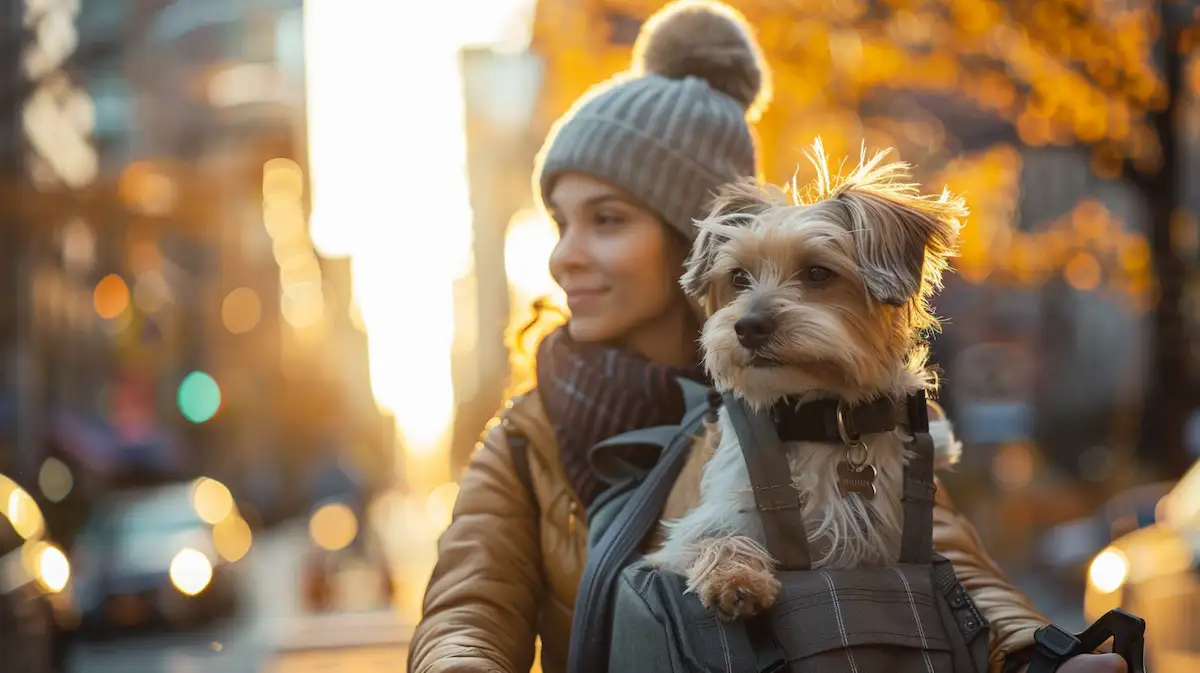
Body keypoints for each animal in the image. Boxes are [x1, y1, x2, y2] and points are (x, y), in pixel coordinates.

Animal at [648, 140, 964, 619]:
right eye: (738, 277)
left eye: (818, 273)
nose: (748, 327)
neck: (821, 418)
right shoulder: (702, 523)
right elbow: (716, 540)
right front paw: (735, 579)